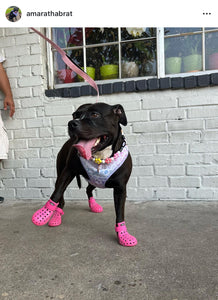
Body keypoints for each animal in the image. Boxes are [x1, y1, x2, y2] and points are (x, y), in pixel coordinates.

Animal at [31, 103, 137, 246]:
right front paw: (43, 214)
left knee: (88, 189)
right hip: (61, 174)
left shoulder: (120, 188)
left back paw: (93, 205)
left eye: (95, 114)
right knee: (61, 196)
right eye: (75, 115)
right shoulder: (68, 172)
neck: (101, 157)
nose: (71, 123)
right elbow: (57, 193)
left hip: (95, 180)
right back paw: (56, 216)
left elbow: (120, 213)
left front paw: (123, 234)